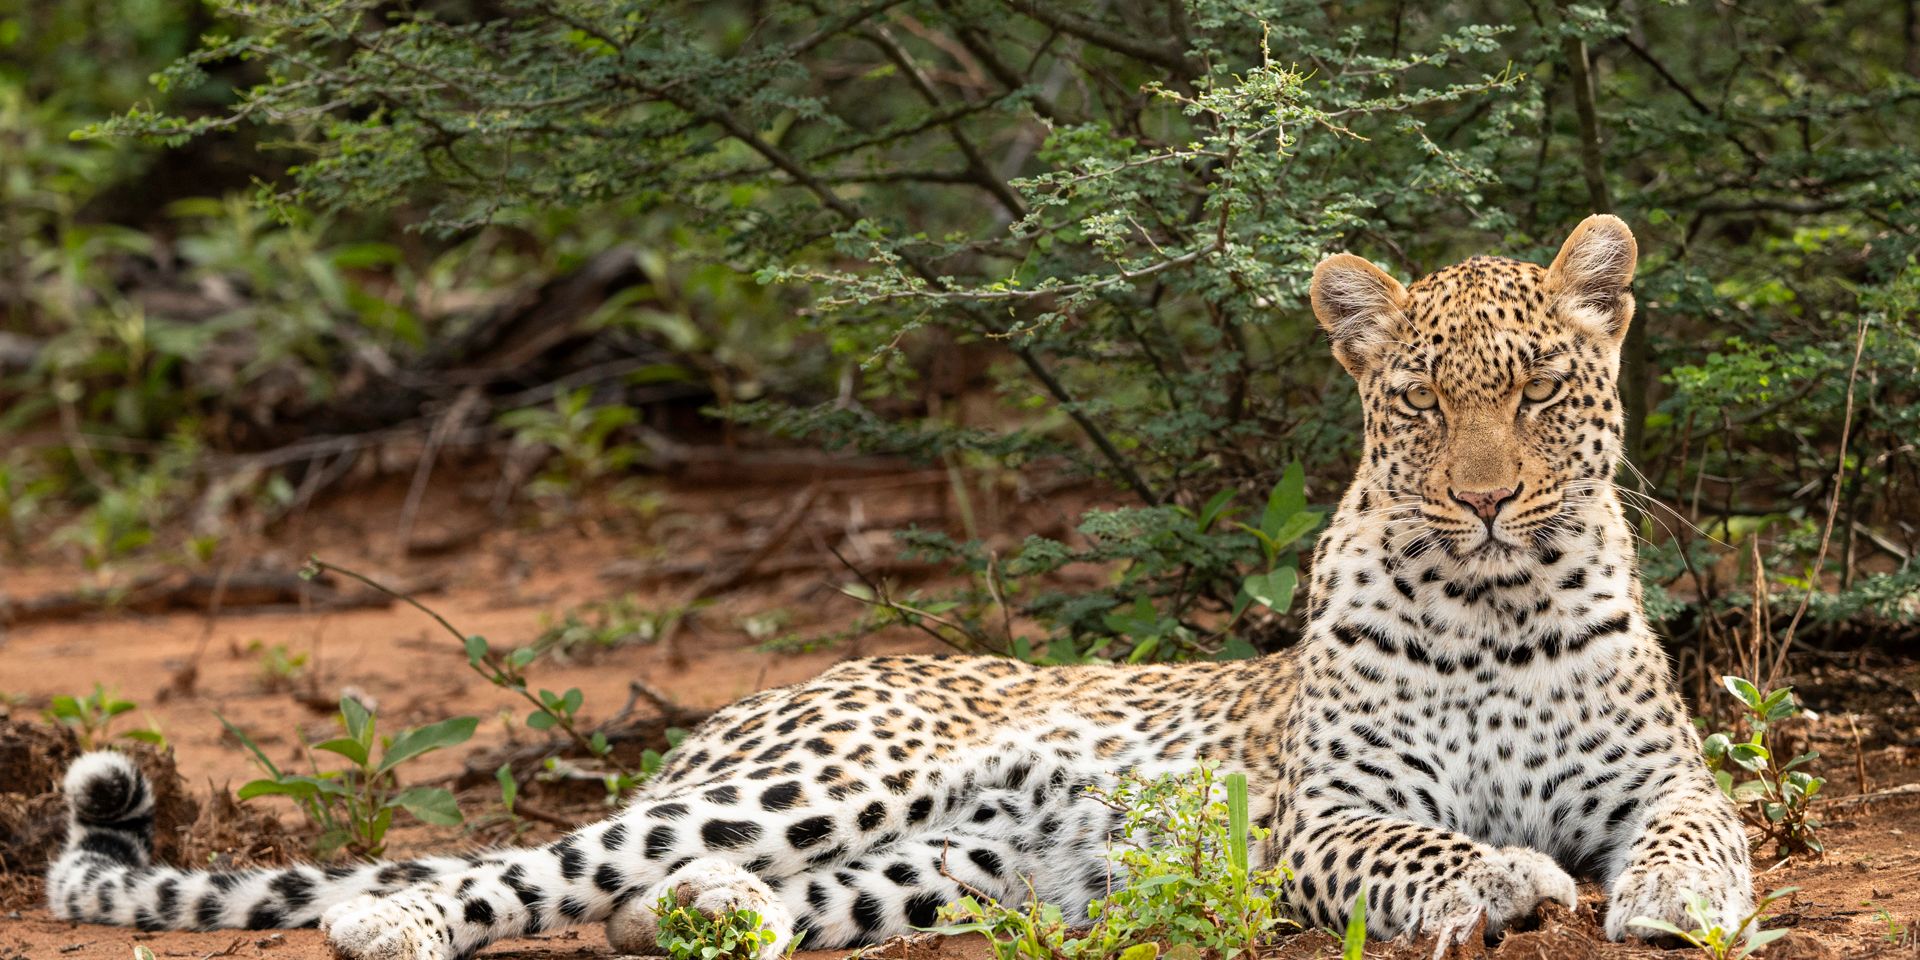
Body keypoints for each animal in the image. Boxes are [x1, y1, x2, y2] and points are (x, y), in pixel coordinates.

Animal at [46, 214, 1751, 959]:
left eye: (1538, 393)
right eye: (1419, 401)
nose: (1485, 494)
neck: (1498, 610)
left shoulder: (1666, 776)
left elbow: (1698, 829)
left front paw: (1675, 902)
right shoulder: (1319, 820)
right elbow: (1417, 840)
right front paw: (1502, 878)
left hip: (958, 866)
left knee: (678, 895)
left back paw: (709, 920)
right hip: (826, 778)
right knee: (527, 868)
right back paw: (399, 922)